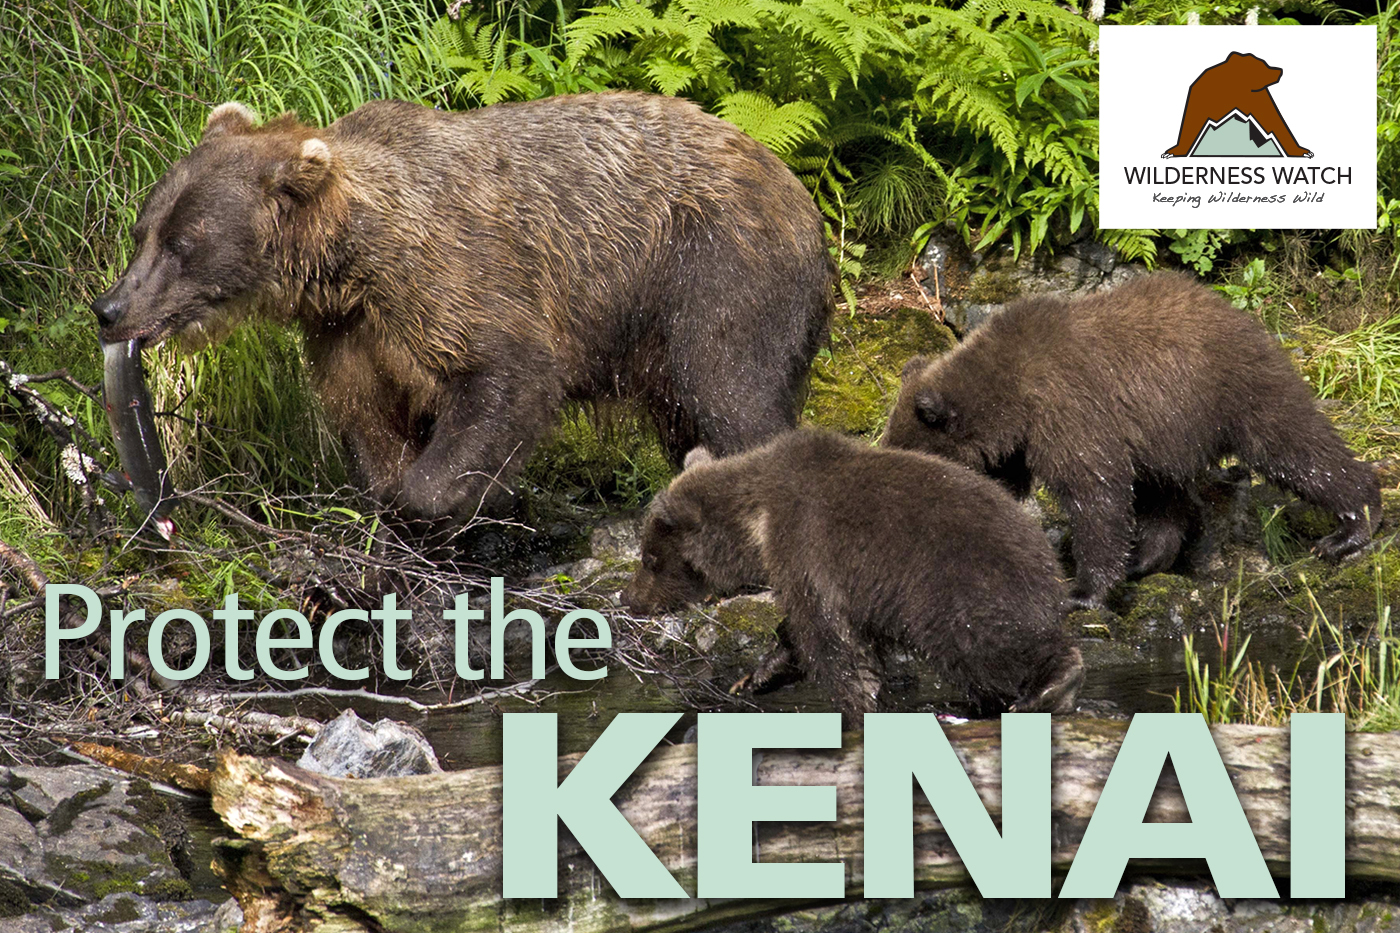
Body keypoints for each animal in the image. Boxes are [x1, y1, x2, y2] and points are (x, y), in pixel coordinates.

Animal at [91, 93, 834, 524]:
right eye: (143, 230)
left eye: (185, 244)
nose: (109, 307)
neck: (349, 264)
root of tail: (800, 191)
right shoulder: (348, 333)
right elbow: (367, 418)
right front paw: (391, 494)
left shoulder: (453, 280)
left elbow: (507, 374)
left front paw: (456, 495)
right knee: (687, 412)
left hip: (711, 270)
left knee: (732, 391)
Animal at [620, 429, 1085, 718]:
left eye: (649, 558)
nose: (630, 598)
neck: (757, 522)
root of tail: (1047, 554)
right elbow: (806, 633)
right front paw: (755, 676)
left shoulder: (808, 545)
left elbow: (830, 638)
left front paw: (855, 703)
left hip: (959, 590)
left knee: (989, 648)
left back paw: (1054, 684)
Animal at [881, 271, 1382, 610]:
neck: (1010, 398)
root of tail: (1237, 311)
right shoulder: (1017, 449)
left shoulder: (1070, 411)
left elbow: (1096, 493)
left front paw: (1082, 591)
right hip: (1165, 431)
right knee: (1166, 494)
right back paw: (1145, 558)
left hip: (1234, 390)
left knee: (1294, 446)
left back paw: (1350, 528)